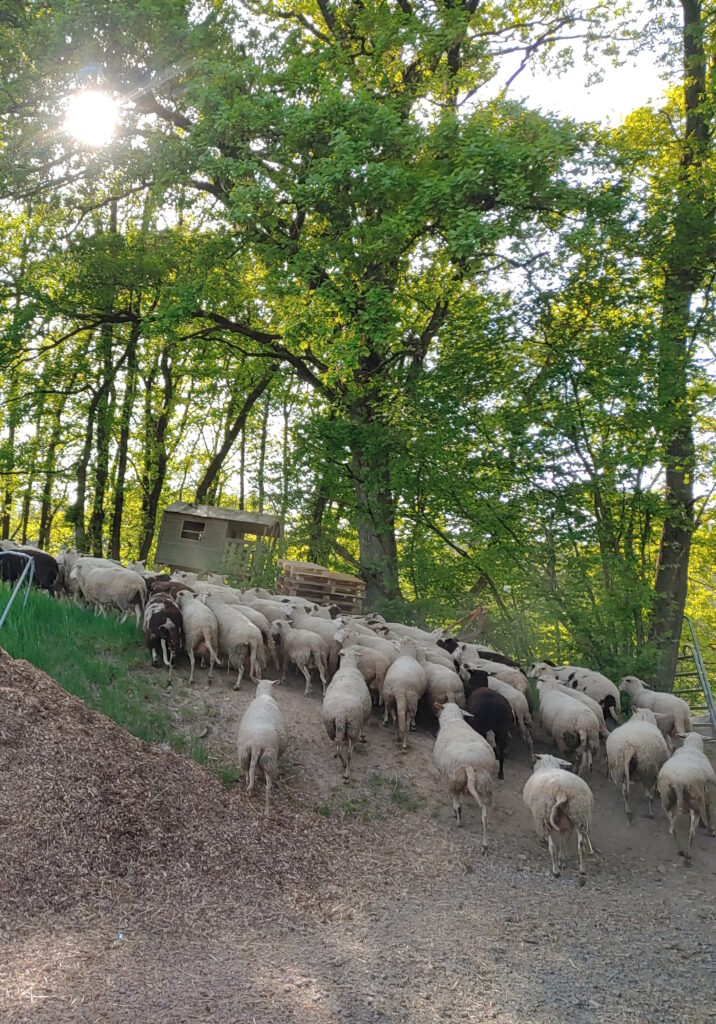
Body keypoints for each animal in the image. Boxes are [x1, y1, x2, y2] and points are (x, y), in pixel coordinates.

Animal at [237, 679, 288, 816]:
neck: (265, 695)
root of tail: (257, 745)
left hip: (245, 754)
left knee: (248, 774)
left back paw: (250, 792)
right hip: (268, 759)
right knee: (267, 787)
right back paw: (266, 810)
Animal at [321, 648, 373, 779]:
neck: (349, 665)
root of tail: (341, 715)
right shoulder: (363, 717)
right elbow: (363, 727)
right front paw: (364, 736)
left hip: (331, 726)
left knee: (337, 744)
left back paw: (342, 761)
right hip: (353, 727)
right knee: (349, 753)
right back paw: (347, 773)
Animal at [432, 702, 498, 850]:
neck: (453, 719)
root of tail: (470, 764)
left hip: (454, 780)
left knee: (458, 805)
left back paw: (458, 821)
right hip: (484, 783)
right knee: (484, 815)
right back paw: (485, 844)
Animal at [523, 754, 594, 885]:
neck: (548, 765)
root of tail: (562, 792)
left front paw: (541, 839)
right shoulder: (566, 826)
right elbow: (563, 841)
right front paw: (563, 859)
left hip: (543, 815)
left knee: (552, 847)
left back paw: (555, 871)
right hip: (579, 815)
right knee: (581, 845)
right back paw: (581, 870)